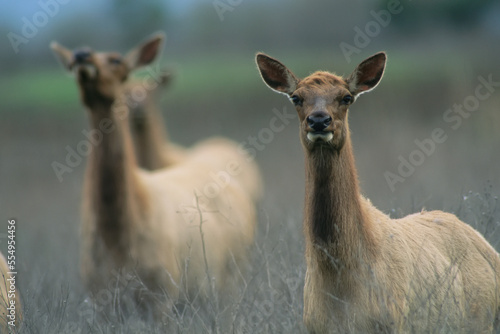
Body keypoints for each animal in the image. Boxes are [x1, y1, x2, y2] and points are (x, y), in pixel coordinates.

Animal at [50, 34, 262, 318]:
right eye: (71, 61)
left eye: (117, 60)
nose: (82, 55)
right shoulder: (98, 299)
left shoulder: (162, 291)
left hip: (235, 273)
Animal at [258, 51, 500, 332]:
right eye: (296, 97)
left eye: (346, 97)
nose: (319, 120)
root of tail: (490, 251)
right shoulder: (313, 325)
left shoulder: (394, 321)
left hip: (480, 318)